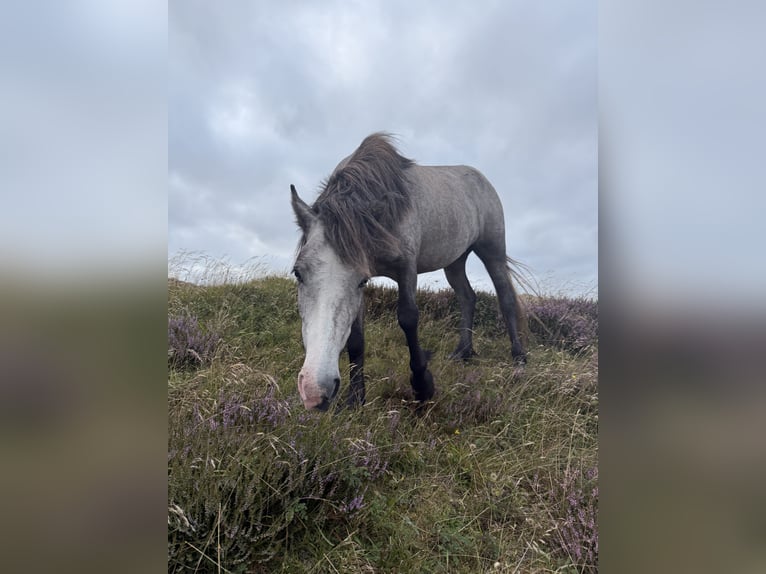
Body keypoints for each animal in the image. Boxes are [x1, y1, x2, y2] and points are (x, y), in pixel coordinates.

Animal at [290, 132, 526, 410]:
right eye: (298, 273)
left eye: (361, 280)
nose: (315, 391)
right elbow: (356, 338)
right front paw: (356, 397)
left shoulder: (406, 269)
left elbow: (408, 318)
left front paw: (423, 386)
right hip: (455, 260)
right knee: (467, 297)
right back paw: (463, 352)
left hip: (492, 251)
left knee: (505, 296)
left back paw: (519, 356)